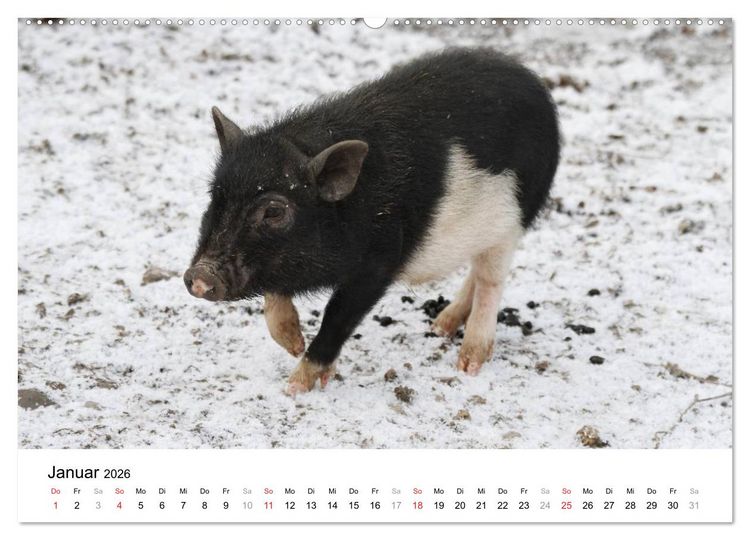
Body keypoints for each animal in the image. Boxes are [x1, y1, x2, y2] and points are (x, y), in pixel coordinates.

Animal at [184, 47, 560, 395]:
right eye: (215, 195)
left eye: (274, 212)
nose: (200, 276)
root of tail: (535, 84)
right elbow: (275, 298)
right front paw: (293, 344)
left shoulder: (380, 261)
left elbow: (338, 316)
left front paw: (294, 387)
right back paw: (440, 327)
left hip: (514, 219)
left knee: (489, 280)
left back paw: (468, 363)